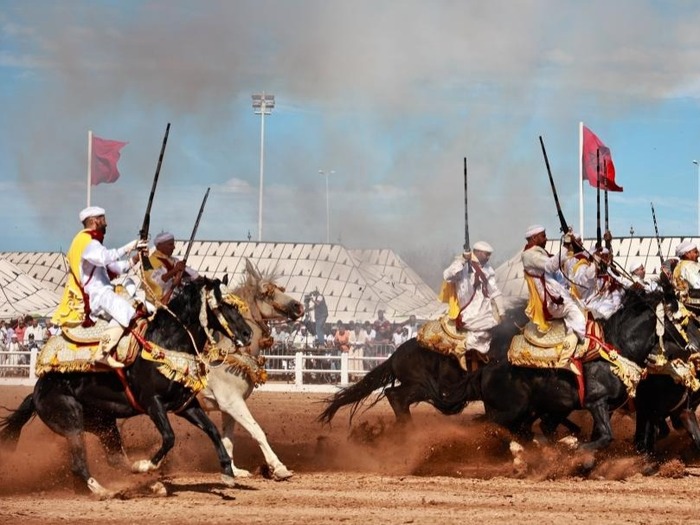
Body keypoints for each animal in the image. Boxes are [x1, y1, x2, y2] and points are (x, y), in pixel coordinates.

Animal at [0, 276, 252, 498]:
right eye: (224, 305)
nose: (248, 334)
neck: (165, 343)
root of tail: (36, 392)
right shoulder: (153, 404)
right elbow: (169, 437)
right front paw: (146, 465)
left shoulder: (185, 405)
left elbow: (212, 430)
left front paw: (227, 473)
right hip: (72, 422)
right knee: (79, 464)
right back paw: (106, 491)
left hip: (103, 424)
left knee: (114, 459)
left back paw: (148, 485)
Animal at [198, 258, 304, 478]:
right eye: (267, 293)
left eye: (280, 288)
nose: (298, 306)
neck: (231, 355)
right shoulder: (233, 403)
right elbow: (257, 431)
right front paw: (279, 467)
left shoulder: (228, 408)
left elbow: (228, 441)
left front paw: (234, 471)